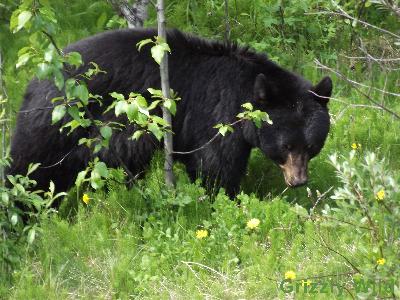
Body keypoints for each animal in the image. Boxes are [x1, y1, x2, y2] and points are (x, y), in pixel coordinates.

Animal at [10, 28, 334, 197]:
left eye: (312, 146)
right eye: (286, 146)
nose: (299, 181)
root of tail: (37, 77)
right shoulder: (216, 116)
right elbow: (215, 166)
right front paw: (226, 199)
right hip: (58, 123)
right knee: (32, 167)